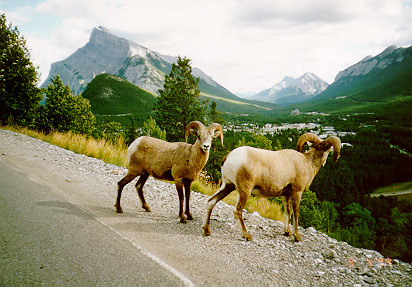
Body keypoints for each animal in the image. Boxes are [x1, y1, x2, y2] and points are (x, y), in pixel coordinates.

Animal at [201, 134, 340, 242]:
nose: (325, 162)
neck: (308, 163)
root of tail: (228, 158)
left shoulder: (285, 195)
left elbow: (288, 212)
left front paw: (287, 232)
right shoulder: (297, 192)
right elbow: (296, 213)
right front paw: (297, 236)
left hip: (227, 186)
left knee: (211, 201)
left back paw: (207, 230)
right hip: (244, 191)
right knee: (237, 211)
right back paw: (247, 235)